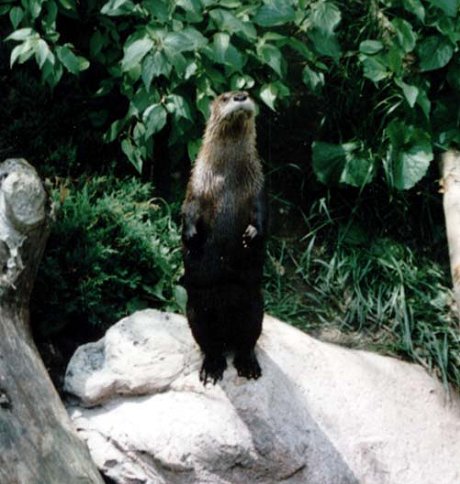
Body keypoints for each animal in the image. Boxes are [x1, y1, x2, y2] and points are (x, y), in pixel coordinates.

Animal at [181, 91, 268, 386]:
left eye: (248, 92)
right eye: (224, 97)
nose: (241, 96)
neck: (228, 178)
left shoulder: (258, 185)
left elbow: (262, 213)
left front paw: (252, 235)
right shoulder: (197, 182)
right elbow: (188, 209)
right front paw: (191, 236)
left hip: (255, 307)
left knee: (247, 341)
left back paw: (247, 364)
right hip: (195, 312)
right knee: (209, 344)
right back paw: (212, 367)